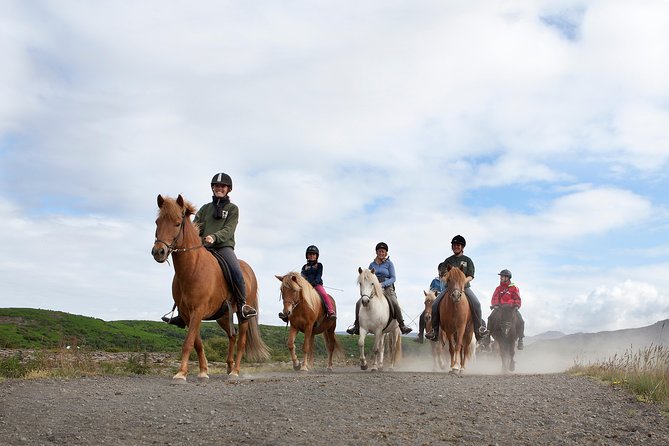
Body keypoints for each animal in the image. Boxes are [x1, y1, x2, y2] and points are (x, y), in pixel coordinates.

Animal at [151, 193, 268, 382]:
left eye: (177, 223)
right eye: (157, 222)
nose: (158, 252)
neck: (192, 268)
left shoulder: (197, 311)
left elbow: (188, 342)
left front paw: (181, 373)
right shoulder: (187, 314)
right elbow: (197, 342)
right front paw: (203, 371)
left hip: (243, 315)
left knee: (241, 341)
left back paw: (235, 371)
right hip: (223, 316)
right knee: (232, 336)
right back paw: (229, 366)